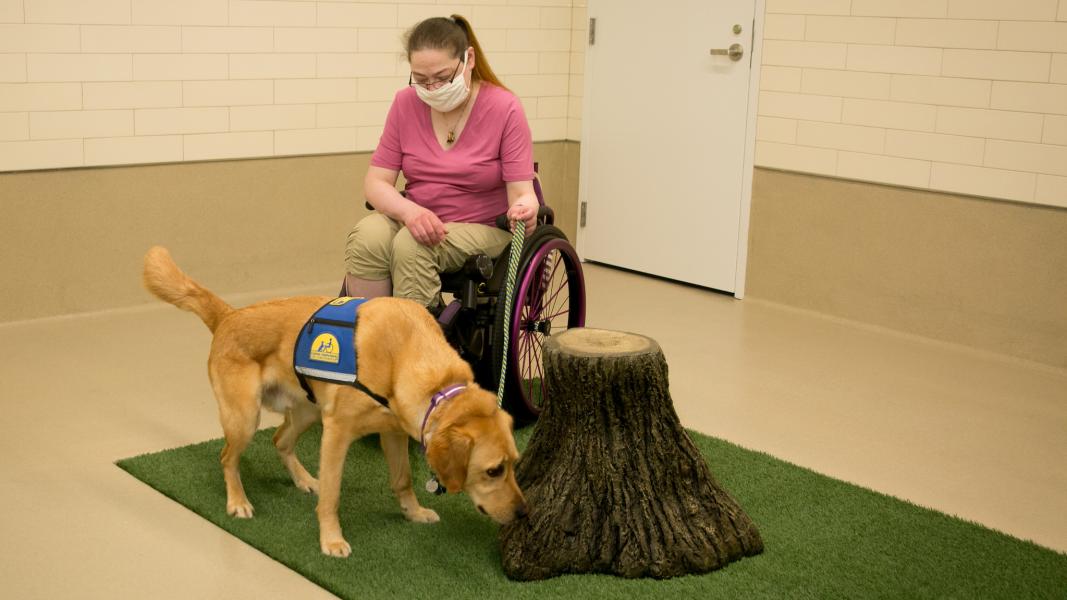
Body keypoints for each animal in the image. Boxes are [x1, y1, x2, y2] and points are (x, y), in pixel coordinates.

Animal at [140, 245, 529, 555]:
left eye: (514, 464)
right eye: (493, 470)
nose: (524, 513)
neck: (409, 359)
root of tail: (229, 316)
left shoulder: (393, 433)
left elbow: (402, 479)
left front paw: (414, 513)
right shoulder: (337, 433)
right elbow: (332, 495)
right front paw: (331, 539)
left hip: (307, 411)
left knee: (280, 440)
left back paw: (303, 480)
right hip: (245, 418)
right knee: (227, 458)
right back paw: (238, 501)